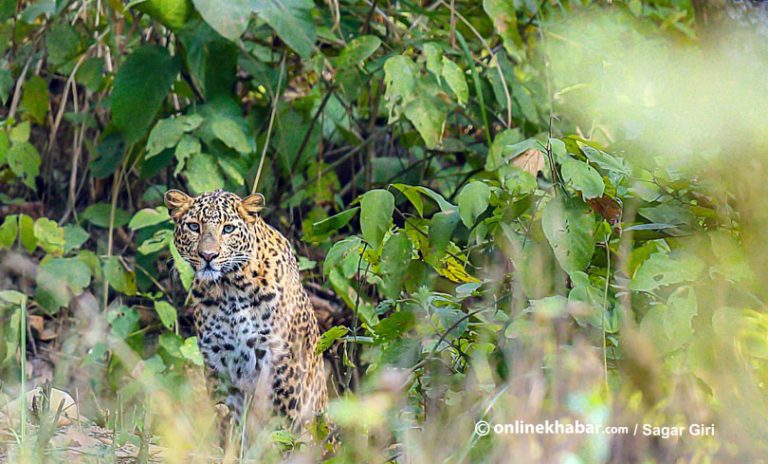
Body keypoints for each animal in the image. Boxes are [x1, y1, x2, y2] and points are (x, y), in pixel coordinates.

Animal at [165, 187, 328, 430]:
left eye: (228, 228)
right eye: (194, 227)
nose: (208, 256)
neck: (230, 291)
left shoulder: (283, 364)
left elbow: (282, 423)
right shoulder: (218, 363)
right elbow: (227, 418)